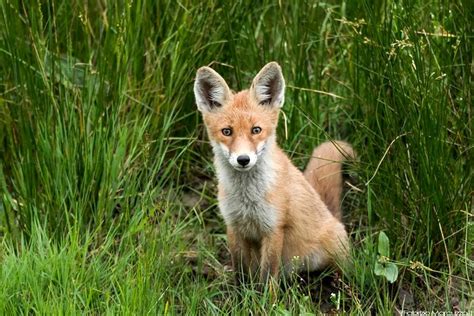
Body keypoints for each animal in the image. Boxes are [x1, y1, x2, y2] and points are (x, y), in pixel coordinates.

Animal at [193, 61, 356, 282]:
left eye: (256, 130)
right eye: (227, 131)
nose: (243, 159)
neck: (247, 199)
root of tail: (332, 214)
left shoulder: (274, 228)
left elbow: (267, 277)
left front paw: (263, 293)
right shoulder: (233, 226)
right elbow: (240, 273)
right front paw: (239, 291)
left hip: (336, 252)